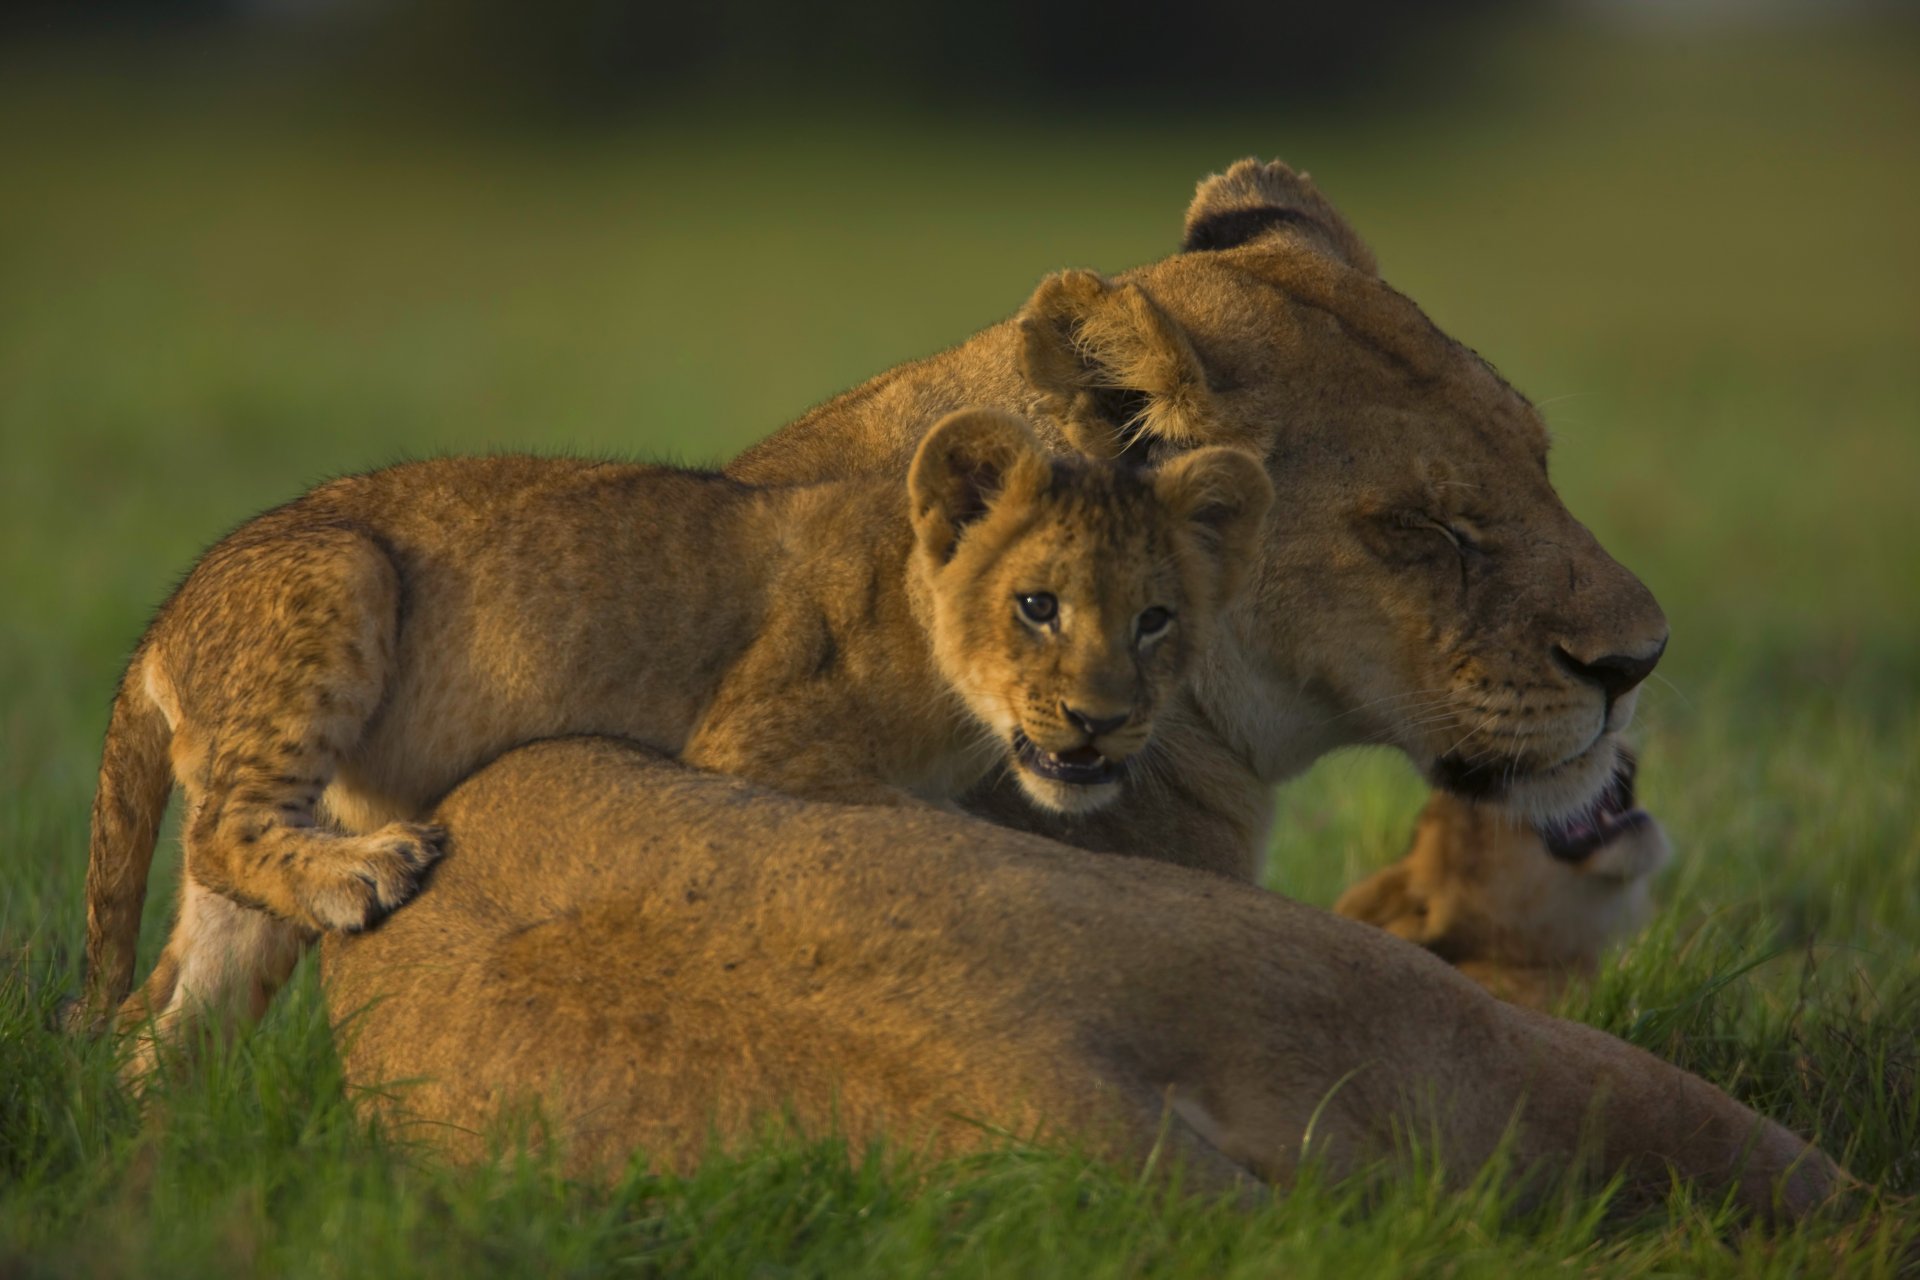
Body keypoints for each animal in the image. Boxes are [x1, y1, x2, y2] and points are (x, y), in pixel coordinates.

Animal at [74, 408, 1271, 1074]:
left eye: (1155, 619)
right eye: (1037, 606)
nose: (1103, 721)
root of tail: (162, 620)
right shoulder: (754, 740)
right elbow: (918, 814)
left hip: (250, 889)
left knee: (162, 1015)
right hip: (342, 571)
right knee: (220, 833)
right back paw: (368, 871)